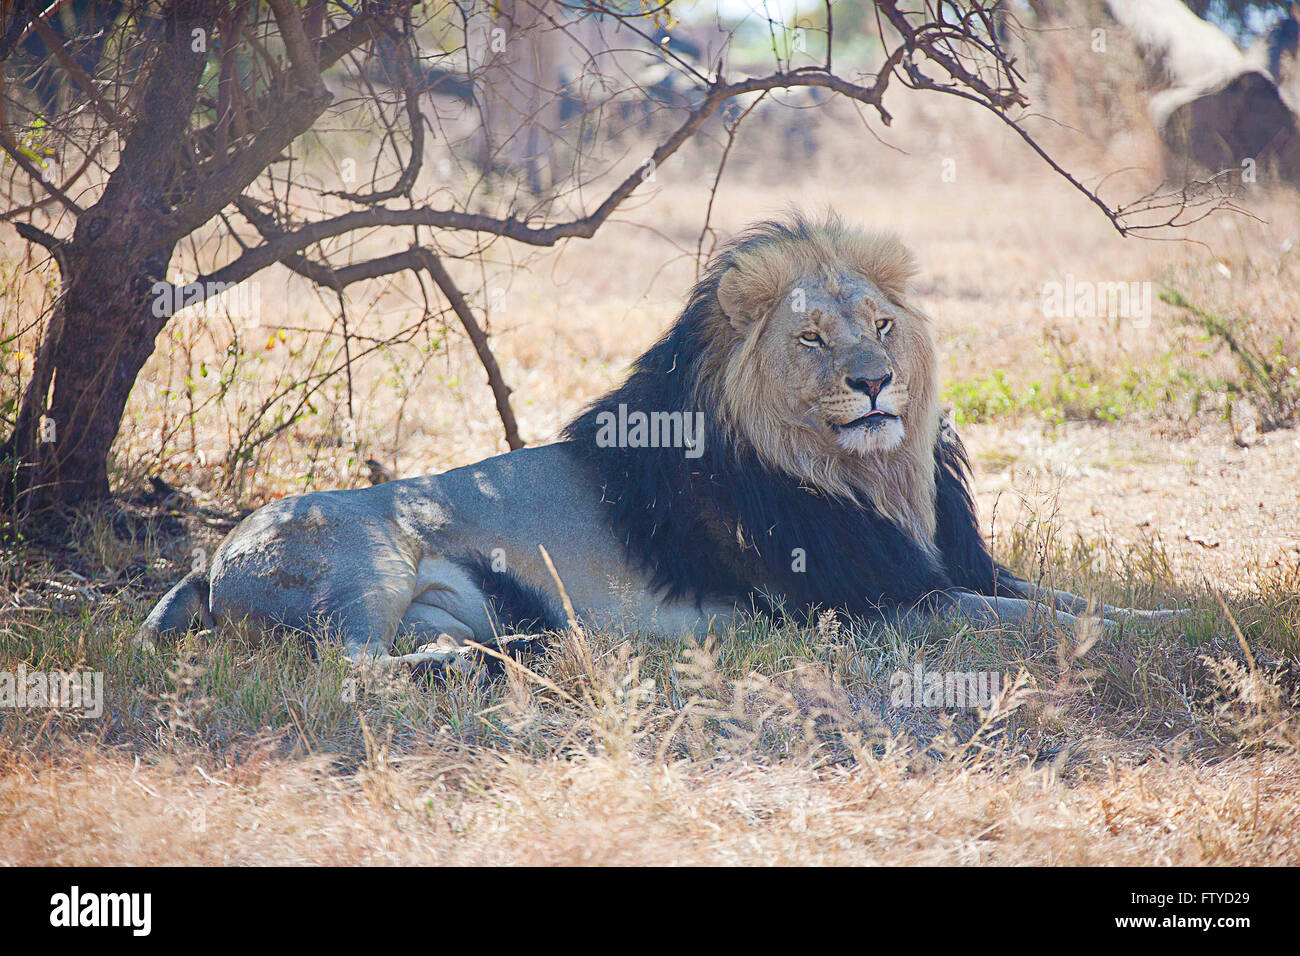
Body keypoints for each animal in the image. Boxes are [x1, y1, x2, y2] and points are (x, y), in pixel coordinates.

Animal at [142, 214, 1180, 665]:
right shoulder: (874, 606)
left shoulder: (943, 565)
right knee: (352, 671)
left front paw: (1180, 618)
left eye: (882, 327)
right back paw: (461, 669)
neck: (877, 478)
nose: (875, 382)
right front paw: (1155, 635)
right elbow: (1032, 619)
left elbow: (1064, 599)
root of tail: (212, 554)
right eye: (813, 339)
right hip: (364, 567)